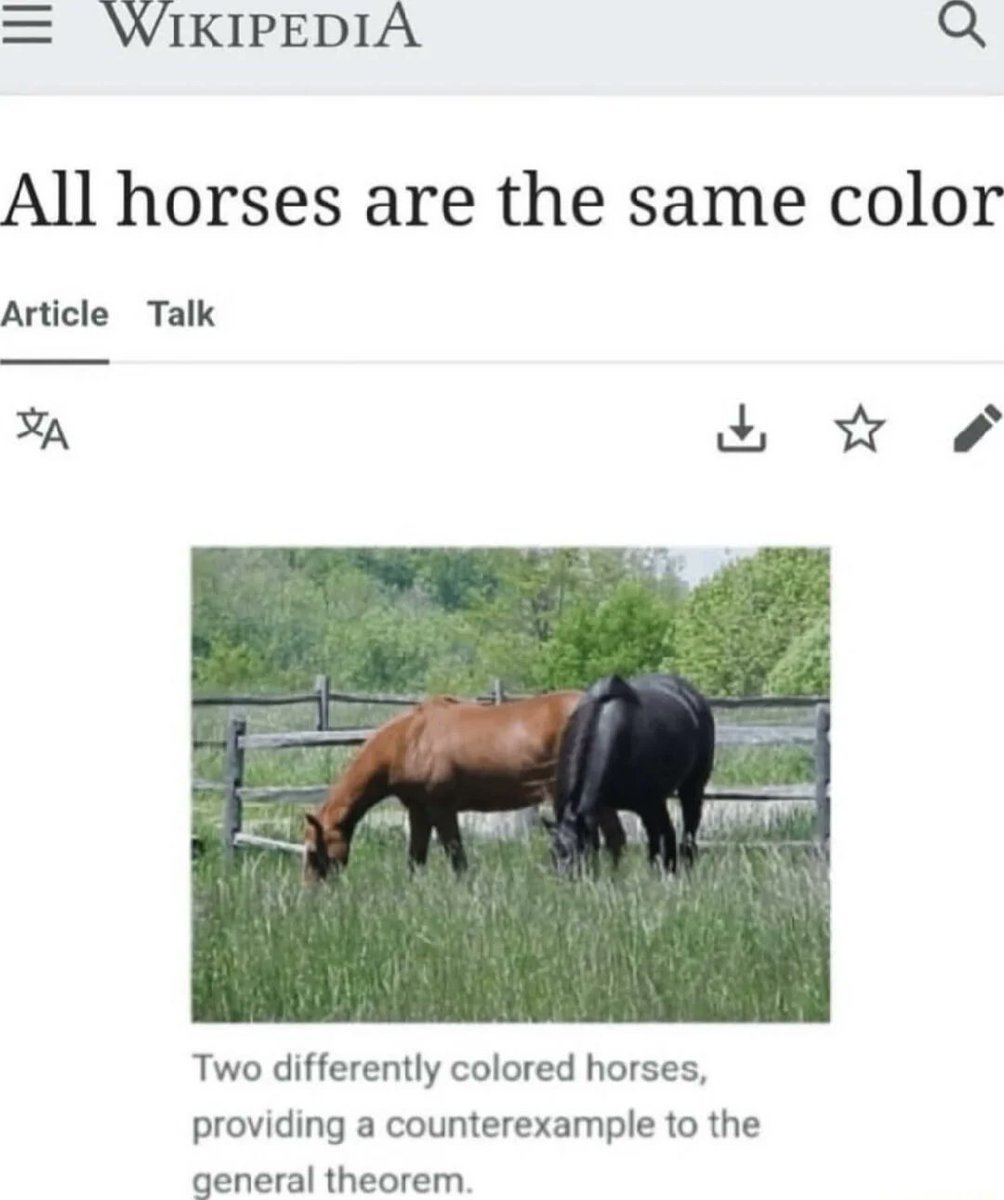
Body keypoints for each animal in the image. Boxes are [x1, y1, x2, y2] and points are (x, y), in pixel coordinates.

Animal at [303, 691, 628, 881]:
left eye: (313, 851)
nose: (310, 895)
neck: (408, 740)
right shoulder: (418, 811)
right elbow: (415, 859)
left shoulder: (441, 809)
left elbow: (456, 857)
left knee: (608, 839)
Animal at [549, 673, 715, 876]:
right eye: (553, 854)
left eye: (580, 852)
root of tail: (694, 698)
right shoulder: (602, 808)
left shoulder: (647, 805)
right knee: (667, 834)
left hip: (690, 789)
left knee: (686, 833)